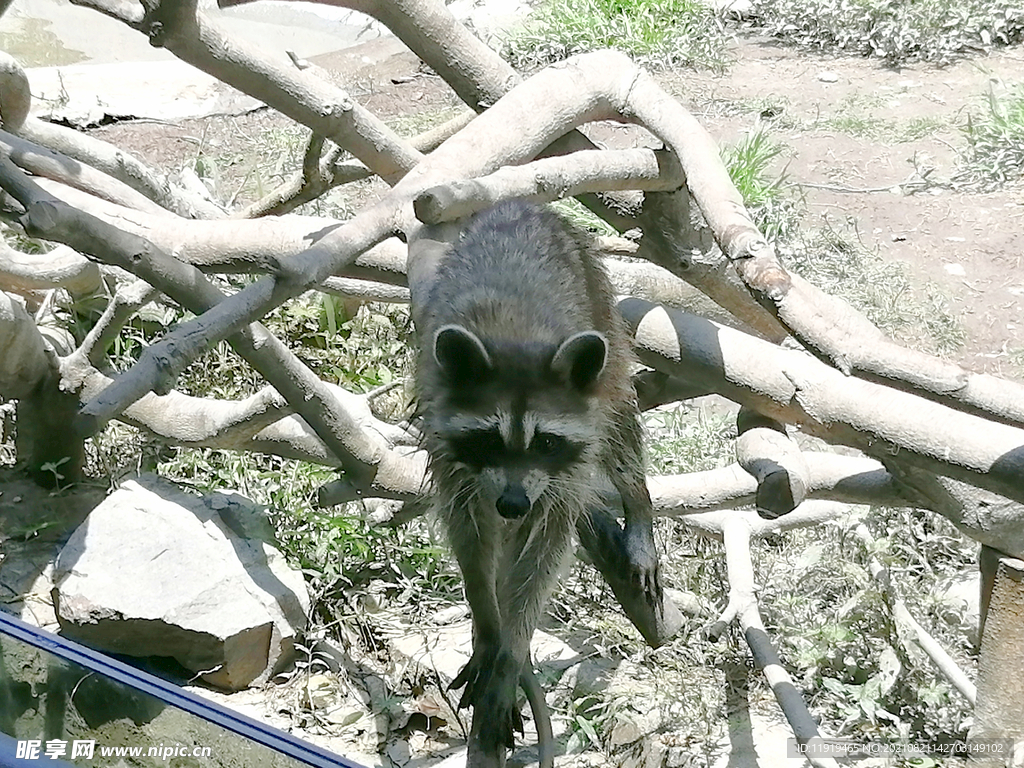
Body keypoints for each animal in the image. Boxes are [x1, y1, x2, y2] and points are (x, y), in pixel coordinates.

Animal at [411, 201, 659, 765]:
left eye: (545, 441)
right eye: (489, 439)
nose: (512, 503)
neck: (515, 338)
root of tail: (522, 205)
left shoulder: (561, 474)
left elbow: (544, 552)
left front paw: (510, 653)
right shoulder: (452, 452)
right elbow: (470, 537)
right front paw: (487, 624)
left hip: (604, 319)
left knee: (622, 425)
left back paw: (638, 507)